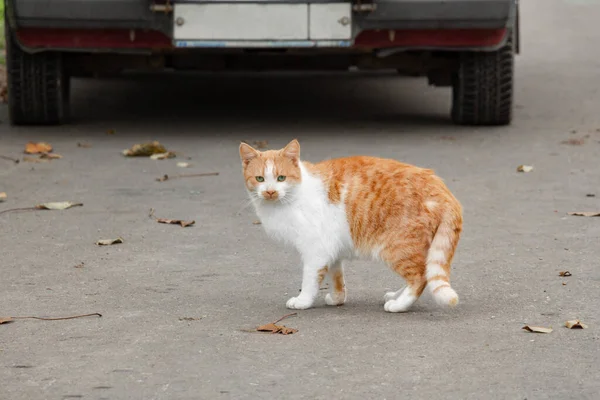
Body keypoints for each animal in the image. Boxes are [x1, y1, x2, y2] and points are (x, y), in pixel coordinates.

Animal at [239, 140, 464, 312]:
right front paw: (338, 298)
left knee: (420, 277)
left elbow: (309, 280)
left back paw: (399, 305)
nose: (270, 192)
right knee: (423, 272)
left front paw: (303, 301)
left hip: (395, 247)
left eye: (281, 178)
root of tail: (442, 190)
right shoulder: (331, 250)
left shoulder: (315, 250)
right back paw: (396, 296)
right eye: (260, 178)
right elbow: (337, 278)